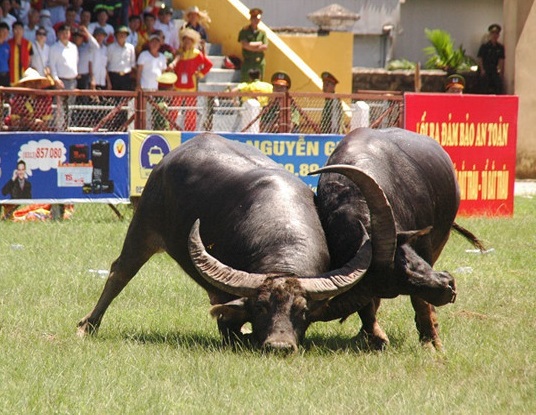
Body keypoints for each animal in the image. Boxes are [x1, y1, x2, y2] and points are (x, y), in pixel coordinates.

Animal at [76, 132, 390, 352]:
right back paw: (88, 325)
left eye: (301, 310)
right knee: (119, 272)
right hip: (143, 226)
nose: (279, 346)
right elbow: (229, 325)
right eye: (261, 307)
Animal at [312, 127, 484, 352]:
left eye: (407, 261)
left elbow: (420, 302)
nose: (448, 287)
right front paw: (374, 336)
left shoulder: (424, 248)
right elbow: (368, 308)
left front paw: (431, 341)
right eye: (393, 289)